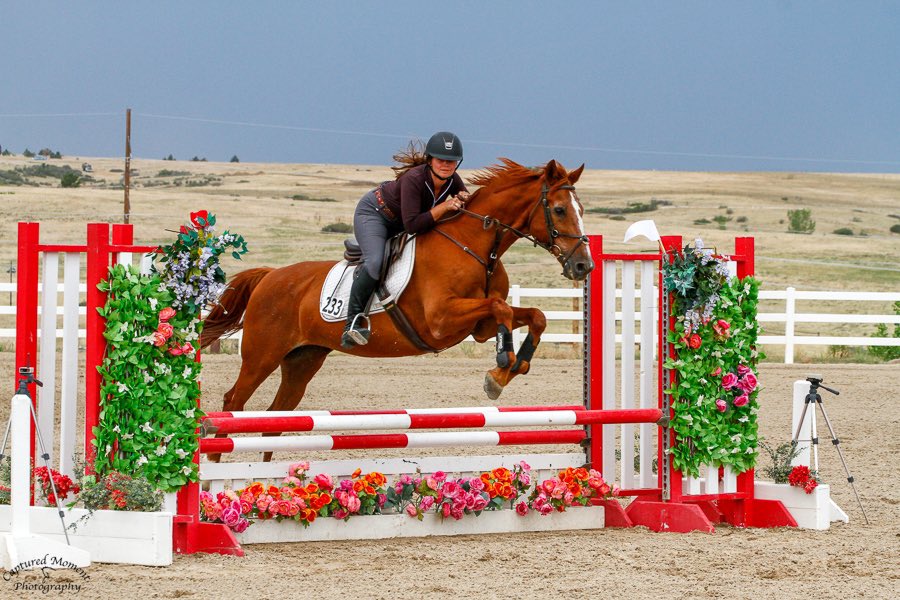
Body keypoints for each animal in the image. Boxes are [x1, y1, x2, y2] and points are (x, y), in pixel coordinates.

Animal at [200, 158, 594, 459]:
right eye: (559, 210)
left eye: (582, 210)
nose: (583, 267)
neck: (475, 245)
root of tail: (270, 276)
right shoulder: (441, 320)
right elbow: (502, 309)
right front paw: (500, 368)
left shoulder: (476, 326)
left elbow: (530, 315)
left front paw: (510, 368)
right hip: (262, 355)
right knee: (233, 402)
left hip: (303, 360)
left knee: (274, 419)